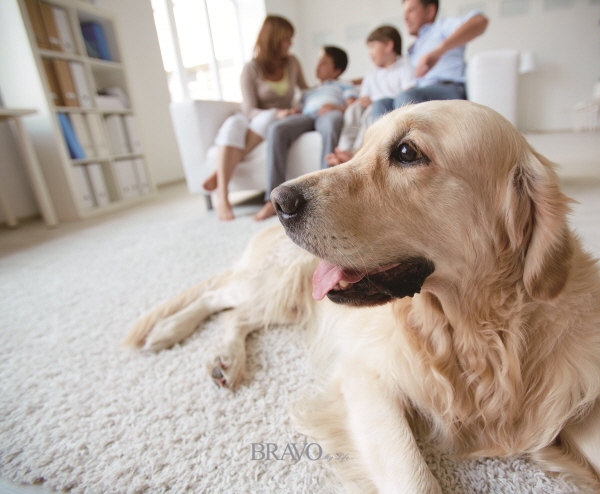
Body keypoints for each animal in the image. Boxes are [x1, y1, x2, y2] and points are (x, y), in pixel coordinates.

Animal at [123, 101, 600, 494]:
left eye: (406, 152)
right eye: (360, 148)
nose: (278, 200)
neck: (472, 333)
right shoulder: (367, 377)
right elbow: (414, 479)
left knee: (238, 315)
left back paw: (225, 359)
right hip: (278, 281)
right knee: (219, 297)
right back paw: (170, 331)